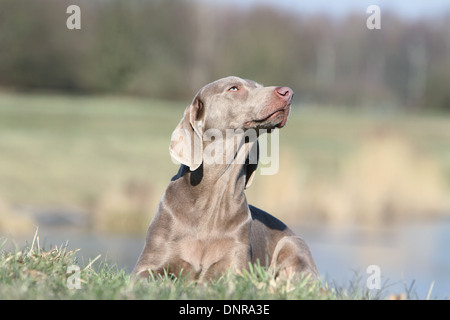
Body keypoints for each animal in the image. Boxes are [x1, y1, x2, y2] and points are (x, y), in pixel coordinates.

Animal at [134, 76, 320, 282]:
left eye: (260, 86)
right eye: (233, 88)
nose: (288, 92)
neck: (212, 197)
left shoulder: (236, 269)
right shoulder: (147, 265)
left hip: (292, 243)